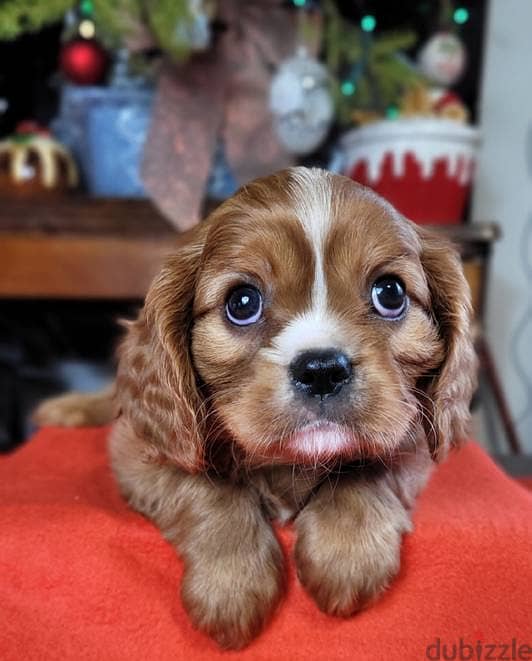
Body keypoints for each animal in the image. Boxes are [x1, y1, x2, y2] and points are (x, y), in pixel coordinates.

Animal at [36, 168, 478, 648]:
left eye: (391, 293)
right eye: (242, 302)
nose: (322, 370)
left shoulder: (414, 430)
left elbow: (370, 465)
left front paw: (347, 551)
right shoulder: (140, 452)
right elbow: (207, 487)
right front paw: (231, 584)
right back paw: (66, 410)